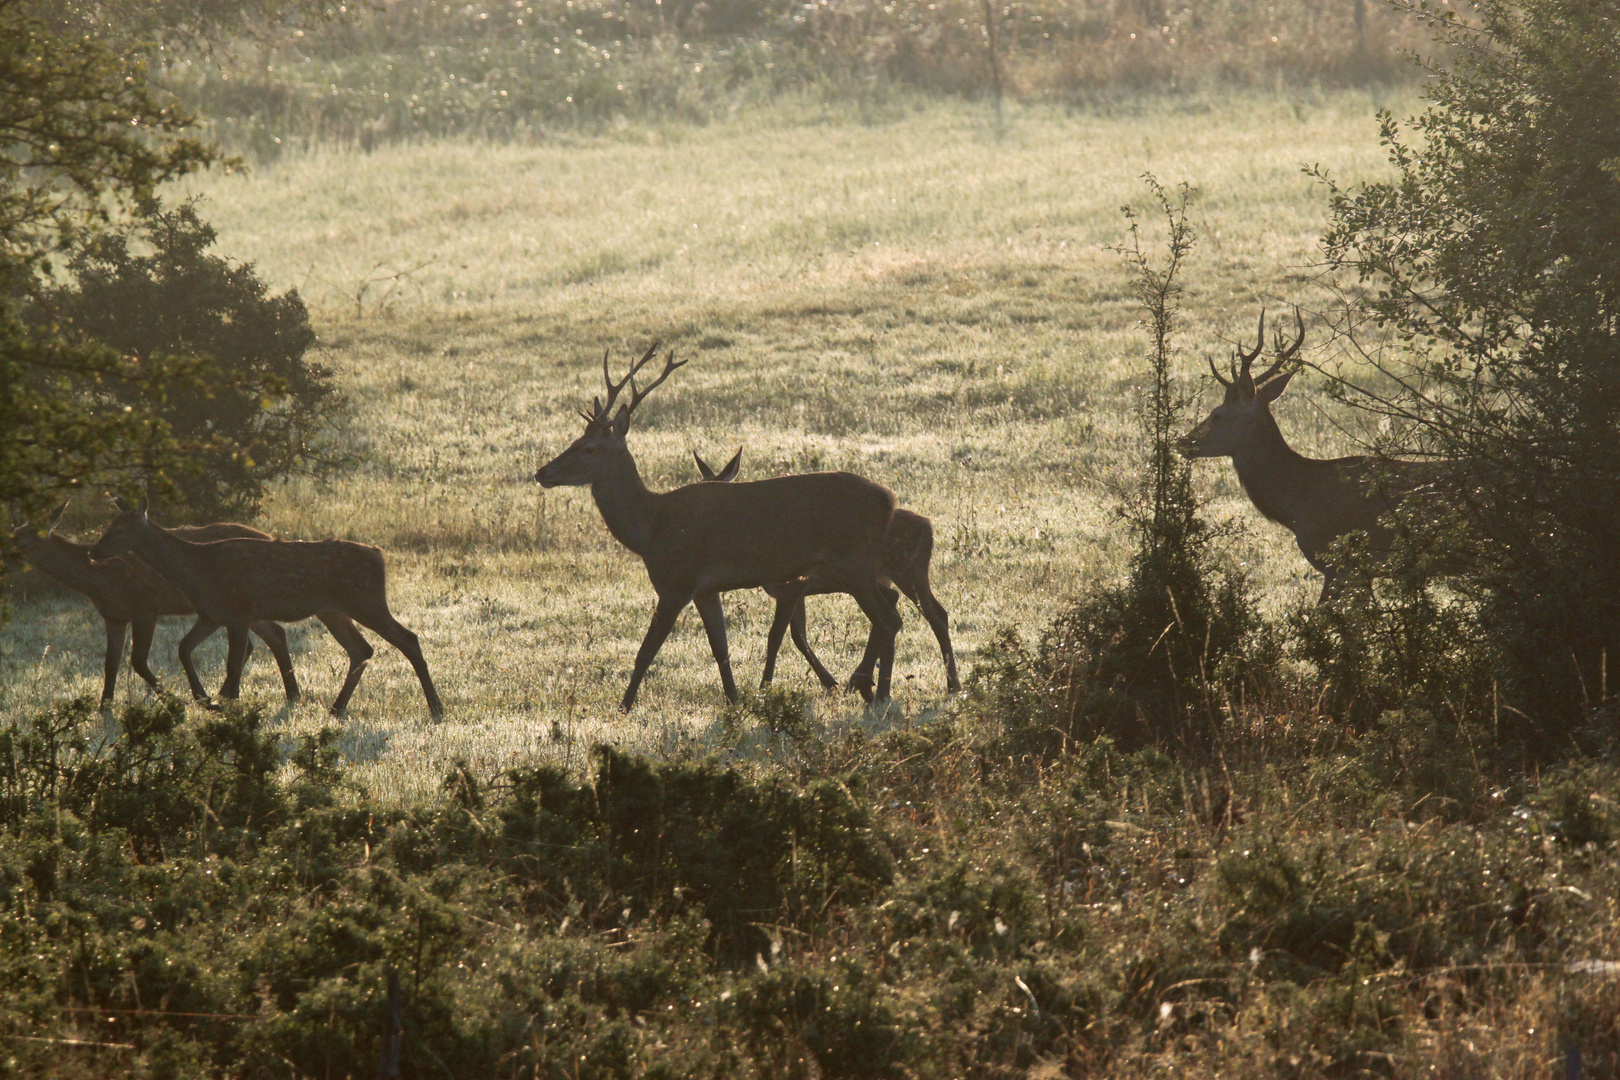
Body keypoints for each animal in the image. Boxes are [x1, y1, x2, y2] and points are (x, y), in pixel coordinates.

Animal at [11, 501, 301, 705]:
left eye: (22, 543)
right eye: (12, 534)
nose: (6, 560)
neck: (96, 582)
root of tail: (269, 536)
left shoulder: (145, 607)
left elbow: (137, 660)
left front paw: (176, 699)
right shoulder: (113, 615)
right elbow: (110, 662)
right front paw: (104, 706)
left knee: (270, 635)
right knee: (273, 634)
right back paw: (281, 693)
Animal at [88, 498, 443, 718]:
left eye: (119, 530)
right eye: (107, 525)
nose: (94, 551)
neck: (198, 569)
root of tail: (380, 556)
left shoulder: (238, 610)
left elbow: (233, 663)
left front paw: (225, 703)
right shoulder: (212, 614)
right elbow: (184, 648)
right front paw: (208, 701)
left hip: (366, 600)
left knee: (408, 639)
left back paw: (436, 708)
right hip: (332, 609)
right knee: (361, 649)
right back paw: (336, 708)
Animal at [537, 346, 907, 712]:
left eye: (588, 448)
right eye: (574, 439)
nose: (542, 472)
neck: (651, 530)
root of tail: (889, 499)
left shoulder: (677, 582)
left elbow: (646, 652)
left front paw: (624, 708)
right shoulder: (705, 589)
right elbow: (721, 650)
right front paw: (734, 700)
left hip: (853, 563)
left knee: (888, 620)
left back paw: (879, 694)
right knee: (891, 614)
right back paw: (870, 688)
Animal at [693, 446, 959, 702]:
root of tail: (928, 525)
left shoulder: (791, 586)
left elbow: (778, 636)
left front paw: (766, 686)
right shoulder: (793, 591)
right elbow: (798, 635)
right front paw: (830, 682)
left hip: (901, 571)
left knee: (924, 615)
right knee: (928, 611)